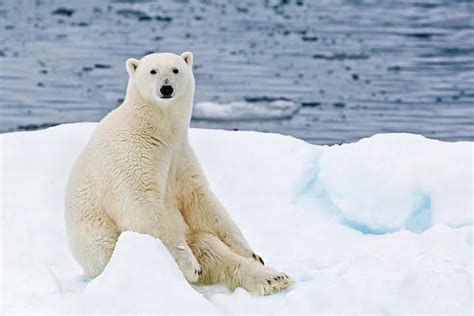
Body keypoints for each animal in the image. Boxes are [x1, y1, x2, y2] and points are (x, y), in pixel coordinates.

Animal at [64, 51, 292, 294]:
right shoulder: (130, 156)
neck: (154, 131)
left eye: (175, 70)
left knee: (213, 250)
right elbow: (142, 208)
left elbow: (201, 200)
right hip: (99, 241)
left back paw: (274, 278)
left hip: (189, 232)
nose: (166, 88)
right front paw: (191, 267)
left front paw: (253, 254)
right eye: (153, 71)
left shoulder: (179, 155)